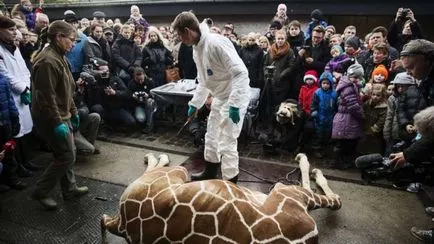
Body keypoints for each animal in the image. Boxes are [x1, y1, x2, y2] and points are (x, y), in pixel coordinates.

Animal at [101, 153, 342, 243]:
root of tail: (121, 224)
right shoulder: (288, 193)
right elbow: (335, 199)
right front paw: (308, 164)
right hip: (178, 173)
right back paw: (156, 155)